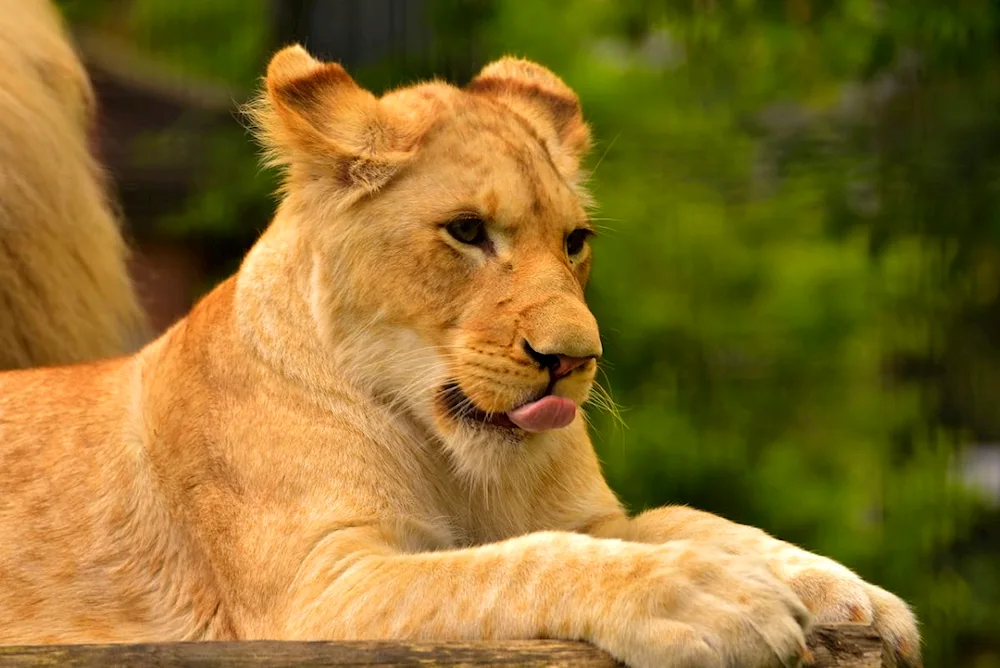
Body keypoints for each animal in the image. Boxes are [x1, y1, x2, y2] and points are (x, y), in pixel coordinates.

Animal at [0, 43, 921, 668]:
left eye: (575, 241)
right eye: (468, 232)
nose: (574, 359)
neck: (449, 457)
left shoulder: (594, 515)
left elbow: (695, 521)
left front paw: (851, 594)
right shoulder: (316, 591)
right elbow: (513, 566)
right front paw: (707, 597)